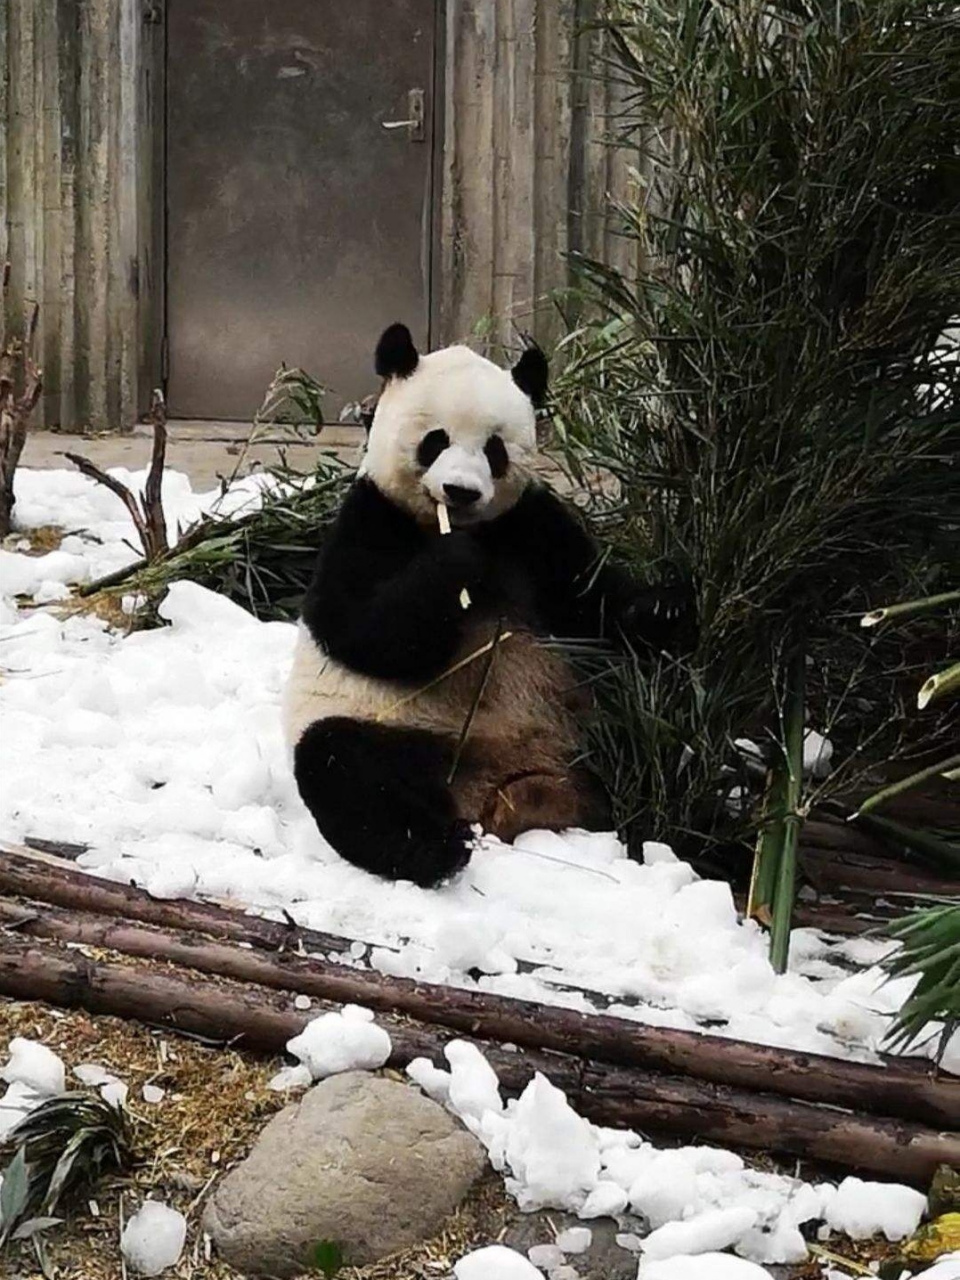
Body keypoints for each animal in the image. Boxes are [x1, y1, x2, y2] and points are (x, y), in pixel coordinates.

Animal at [281, 320, 686, 890]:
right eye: (435, 440)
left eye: (494, 449)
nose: (461, 491)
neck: (455, 526)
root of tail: (504, 786)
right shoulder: (369, 519)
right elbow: (358, 630)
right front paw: (454, 564)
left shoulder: (530, 525)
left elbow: (592, 601)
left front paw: (664, 609)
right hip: (400, 728)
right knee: (346, 769)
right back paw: (433, 848)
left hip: (584, 727)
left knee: (643, 753)